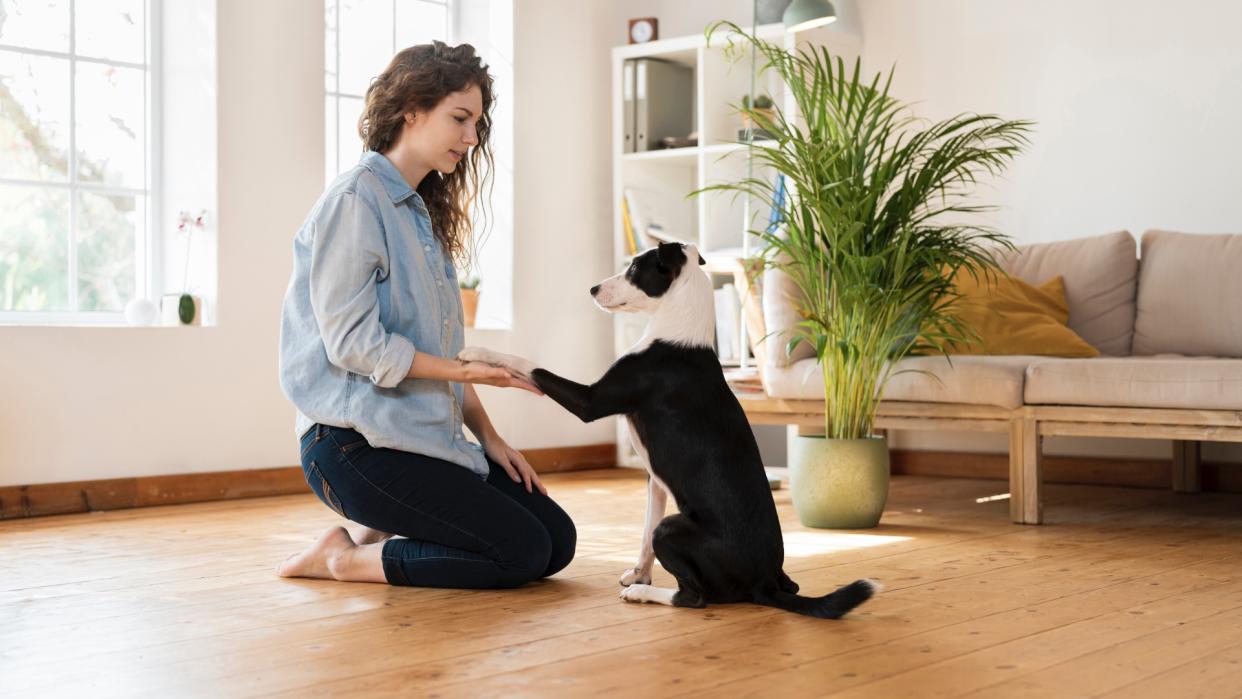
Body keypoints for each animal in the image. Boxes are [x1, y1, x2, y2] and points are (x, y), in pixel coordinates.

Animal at [462, 242, 879, 618]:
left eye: (634, 268)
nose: (593, 289)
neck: (677, 331)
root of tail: (763, 582)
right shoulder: (655, 481)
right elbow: (644, 533)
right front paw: (638, 574)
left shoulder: (590, 401)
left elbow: (529, 365)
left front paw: (477, 353)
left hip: (672, 529)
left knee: (694, 597)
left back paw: (645, 596)